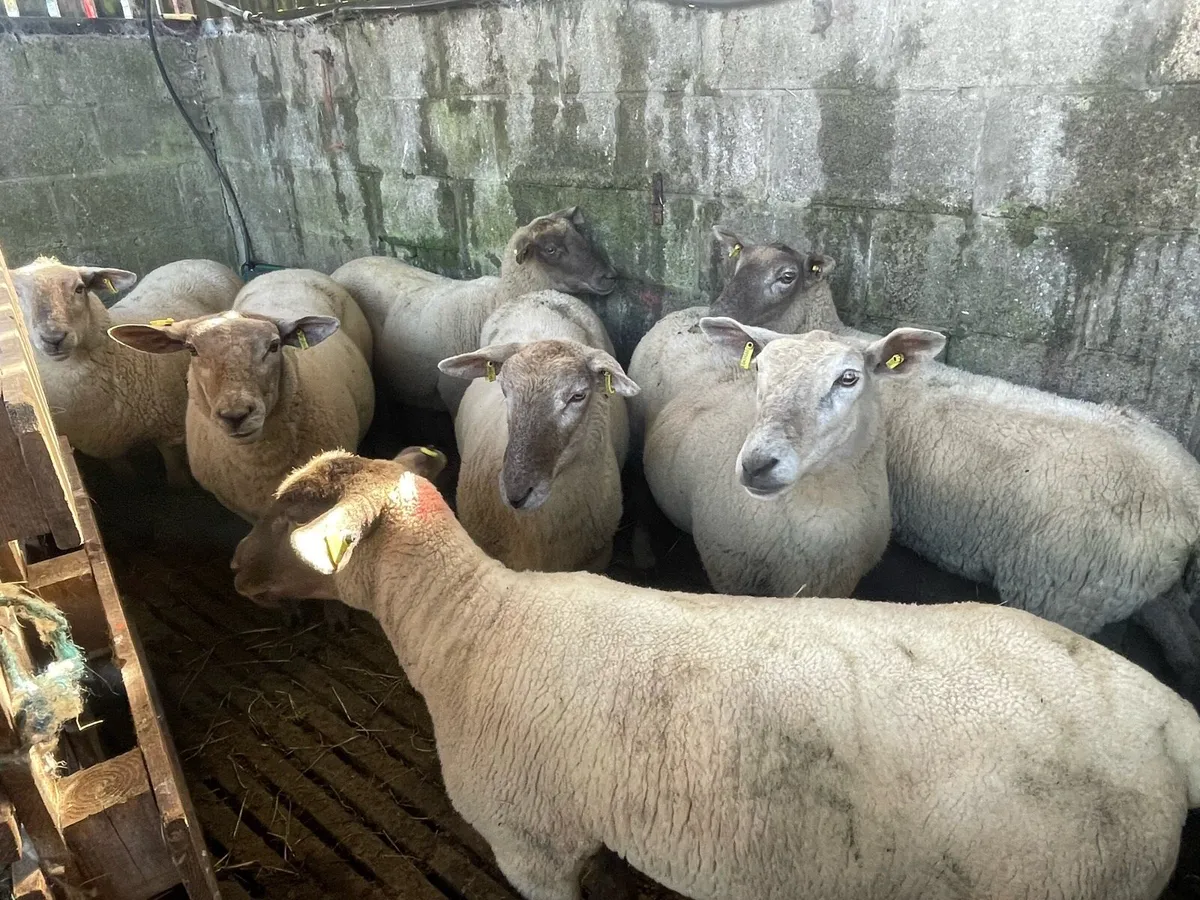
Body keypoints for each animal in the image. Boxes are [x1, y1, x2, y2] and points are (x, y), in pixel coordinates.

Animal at [10, 257, 241, 485]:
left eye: (79, 288)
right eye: (15, 294)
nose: (53, 338)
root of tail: (196, 259)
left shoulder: (170, 433)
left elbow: (176, 479)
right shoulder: (106, 447)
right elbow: (125, 476)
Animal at [230, 447, 1200, 900]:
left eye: (294, 511)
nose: (234, 571)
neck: (469, 625)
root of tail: (1163, 711)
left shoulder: (529, 840)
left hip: (1068, 875)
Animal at [331, 207, 618, 415]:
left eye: (580, 238)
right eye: (551, 249)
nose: (610, 276)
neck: (494, 300)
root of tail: (341, 268)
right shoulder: (453, 393)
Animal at [709, 230, 1200, 700]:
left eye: (786, 276)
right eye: (736, 259)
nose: (715, 311)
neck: (841, 335)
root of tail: (1186, 488)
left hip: (1065, 592)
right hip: (1157, 592)